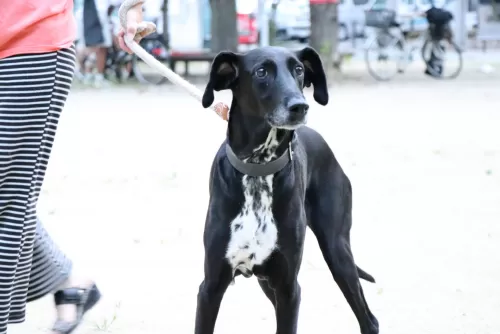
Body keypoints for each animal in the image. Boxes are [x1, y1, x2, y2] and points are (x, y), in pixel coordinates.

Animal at [197, 45, 376, 334]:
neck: (258, 169)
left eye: (299, 70)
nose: (300, 106)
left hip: (337, 252)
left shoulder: (289, 288)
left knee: (369, 320)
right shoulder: (210, 288)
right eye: (261, 71)